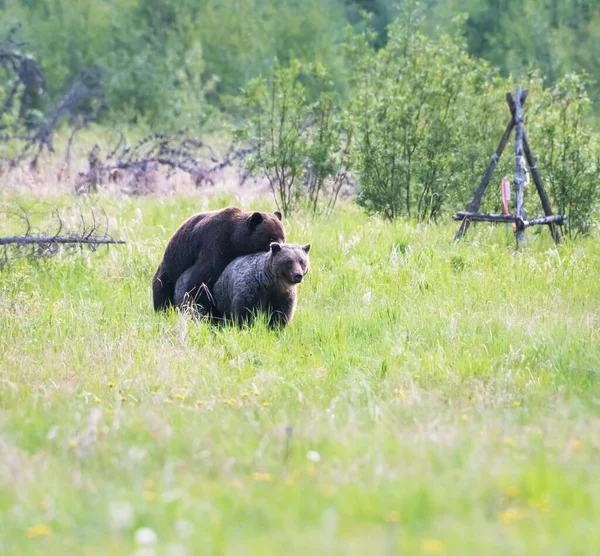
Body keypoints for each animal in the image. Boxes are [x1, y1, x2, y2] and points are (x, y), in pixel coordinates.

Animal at [154, 207, 288, 314]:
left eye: (283, 237)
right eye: (271, 237)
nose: (279, 247)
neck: (235, 240)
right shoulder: (216, 246)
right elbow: (201, 282)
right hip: (169, 270)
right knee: (161, 290)